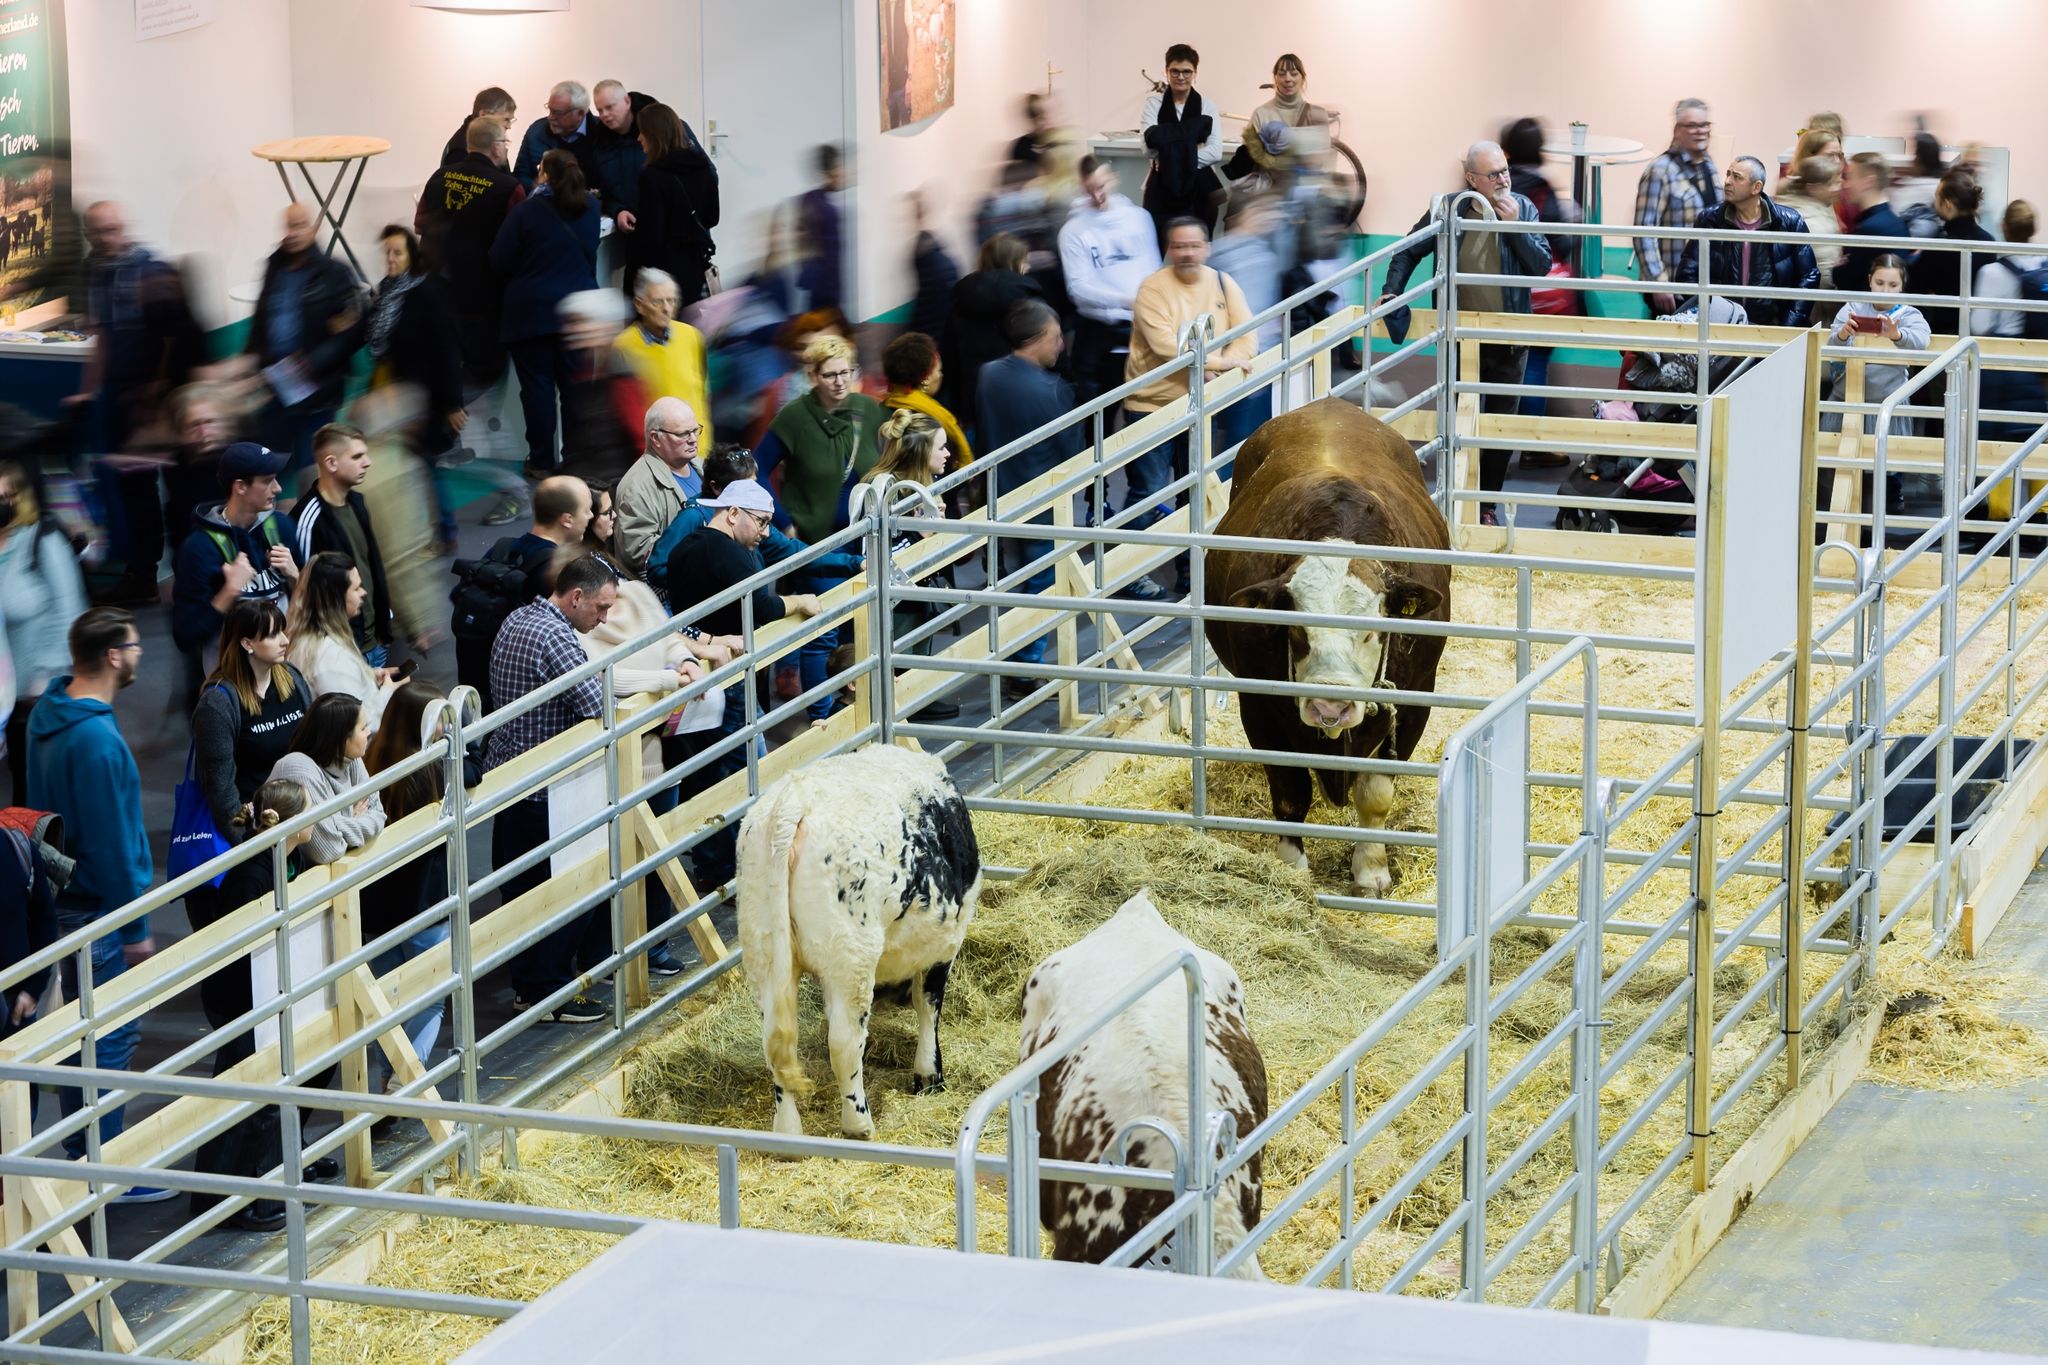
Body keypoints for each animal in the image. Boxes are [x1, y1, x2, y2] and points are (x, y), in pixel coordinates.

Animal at [737, 740, 983, 1137]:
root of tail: (793, 801)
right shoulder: (945, 941)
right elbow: (928, 1004)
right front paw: (929, 1074)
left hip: (764, 956)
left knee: (776, 1045)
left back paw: (788, 1132)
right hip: (850, 957)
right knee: (843, 1042)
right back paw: (859, 1125)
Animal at [1204, 397, 1449, 896]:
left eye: (1372, 630)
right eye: (1296, 630)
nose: (1330, 708)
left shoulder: (1415, 699)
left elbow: (1376, 794)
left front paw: (1370, 869)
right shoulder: (1258, 706)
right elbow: (1289, 795)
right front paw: (1293, 872)